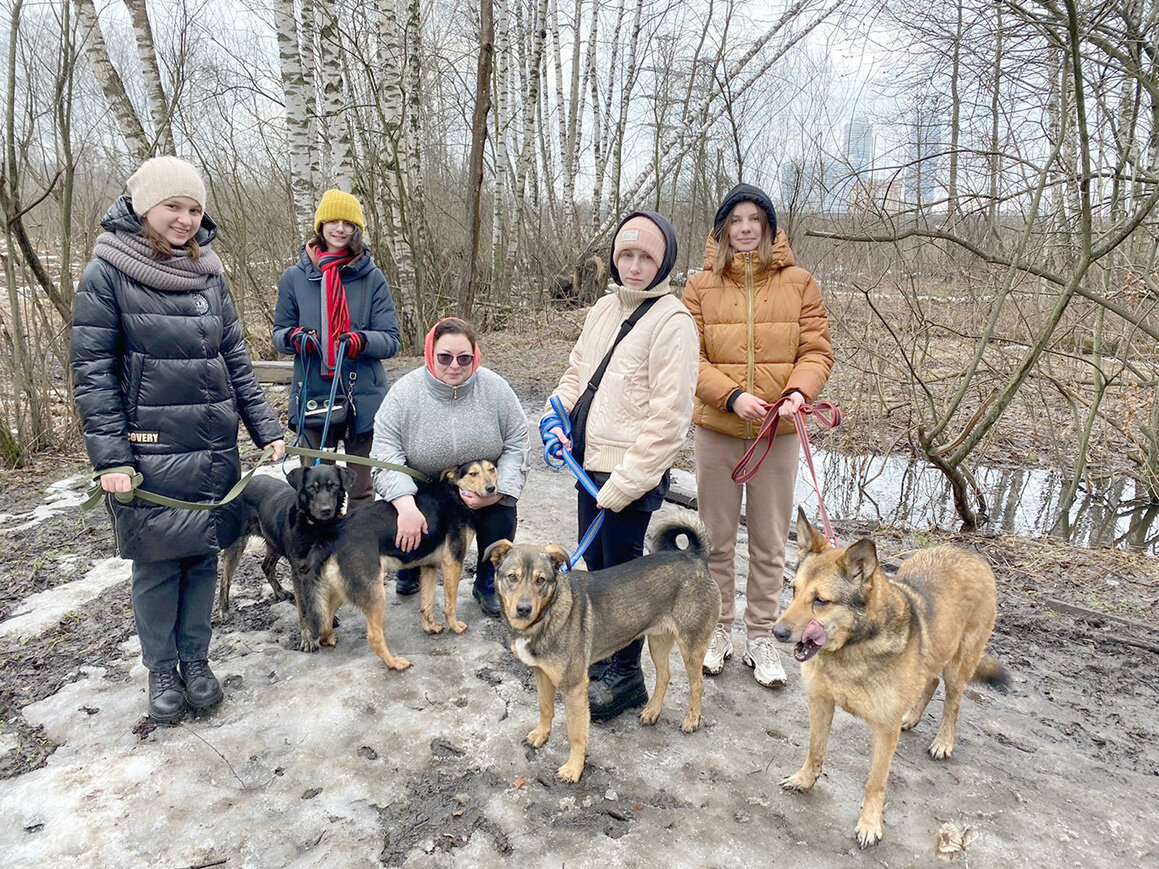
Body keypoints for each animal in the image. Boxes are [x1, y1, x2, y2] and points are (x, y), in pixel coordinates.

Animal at [294, 458, 498, 672]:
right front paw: (455, 626)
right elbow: (450, 603)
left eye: (492, 470)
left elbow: (427, 602)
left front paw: (430, 627)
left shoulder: (429, 566)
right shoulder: (453, 562)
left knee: (324, 620)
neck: (456, 494)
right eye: (473, 474)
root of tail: (332, 534)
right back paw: (394, 662)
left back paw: (329, 639)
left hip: (338, 588)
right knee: (373, 636)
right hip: (375, 593)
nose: (492, 488)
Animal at [484, 514, 718, 787]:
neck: (547, 614)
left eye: (540, 580)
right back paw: (652, 712)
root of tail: (695, 557)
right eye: (512, 577)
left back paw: (691, 719)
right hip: (657, 640)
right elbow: (545, 708)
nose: (523, 609)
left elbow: (576, 733)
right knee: (664, 676)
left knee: (697, 684)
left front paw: (574, 769)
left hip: (692, 645)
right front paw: (541, 735)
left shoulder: (574, 688)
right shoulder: (542, 673)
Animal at [774, 509, 1010, 852]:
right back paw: (911, 716)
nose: (776, 632)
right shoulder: (820, 703)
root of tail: (968, 553)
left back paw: (943, 742)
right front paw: (805, 780)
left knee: (952, 703)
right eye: (793, 590)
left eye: (820, 601)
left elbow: (876, 782)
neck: (851, 649)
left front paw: (870, 824)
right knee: (930, 682)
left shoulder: (885, 731)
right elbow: (815, 750)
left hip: (959, 666)